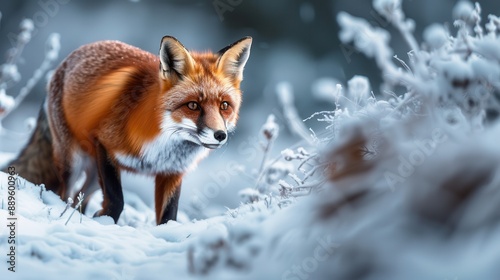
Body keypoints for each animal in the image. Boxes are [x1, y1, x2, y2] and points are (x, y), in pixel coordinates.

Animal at [3, 36, 252, 224]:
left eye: (224, 106)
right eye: (193, 106)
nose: (220, 135)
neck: (162, 145)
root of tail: (68, 58)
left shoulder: (172, 172)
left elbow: (168, 216)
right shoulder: (105, 145)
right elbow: (117, 200)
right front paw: (106, 222)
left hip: (93, 174)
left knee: (78, 197)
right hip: (74, 162)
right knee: (65, 194)